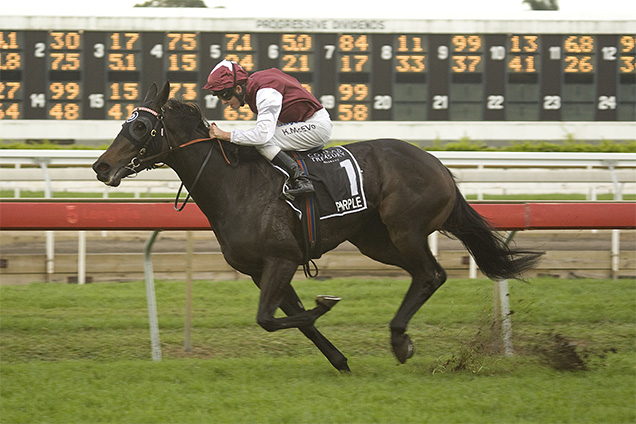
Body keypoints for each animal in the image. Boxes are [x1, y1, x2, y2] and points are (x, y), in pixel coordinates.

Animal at [93, 82, 540, 372]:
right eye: (125, 123)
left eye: (139, 127)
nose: (101, 166)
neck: (234, 184)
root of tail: (439, 165)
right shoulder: (262, 270)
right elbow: (293, 320)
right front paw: (339, 358)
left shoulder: (282, 258)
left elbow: (268, 319)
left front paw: (325, 305)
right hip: (376, 240)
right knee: (424, 275)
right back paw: (399, 337)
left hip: (405, 229)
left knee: (431, 273)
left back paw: (399, 339)